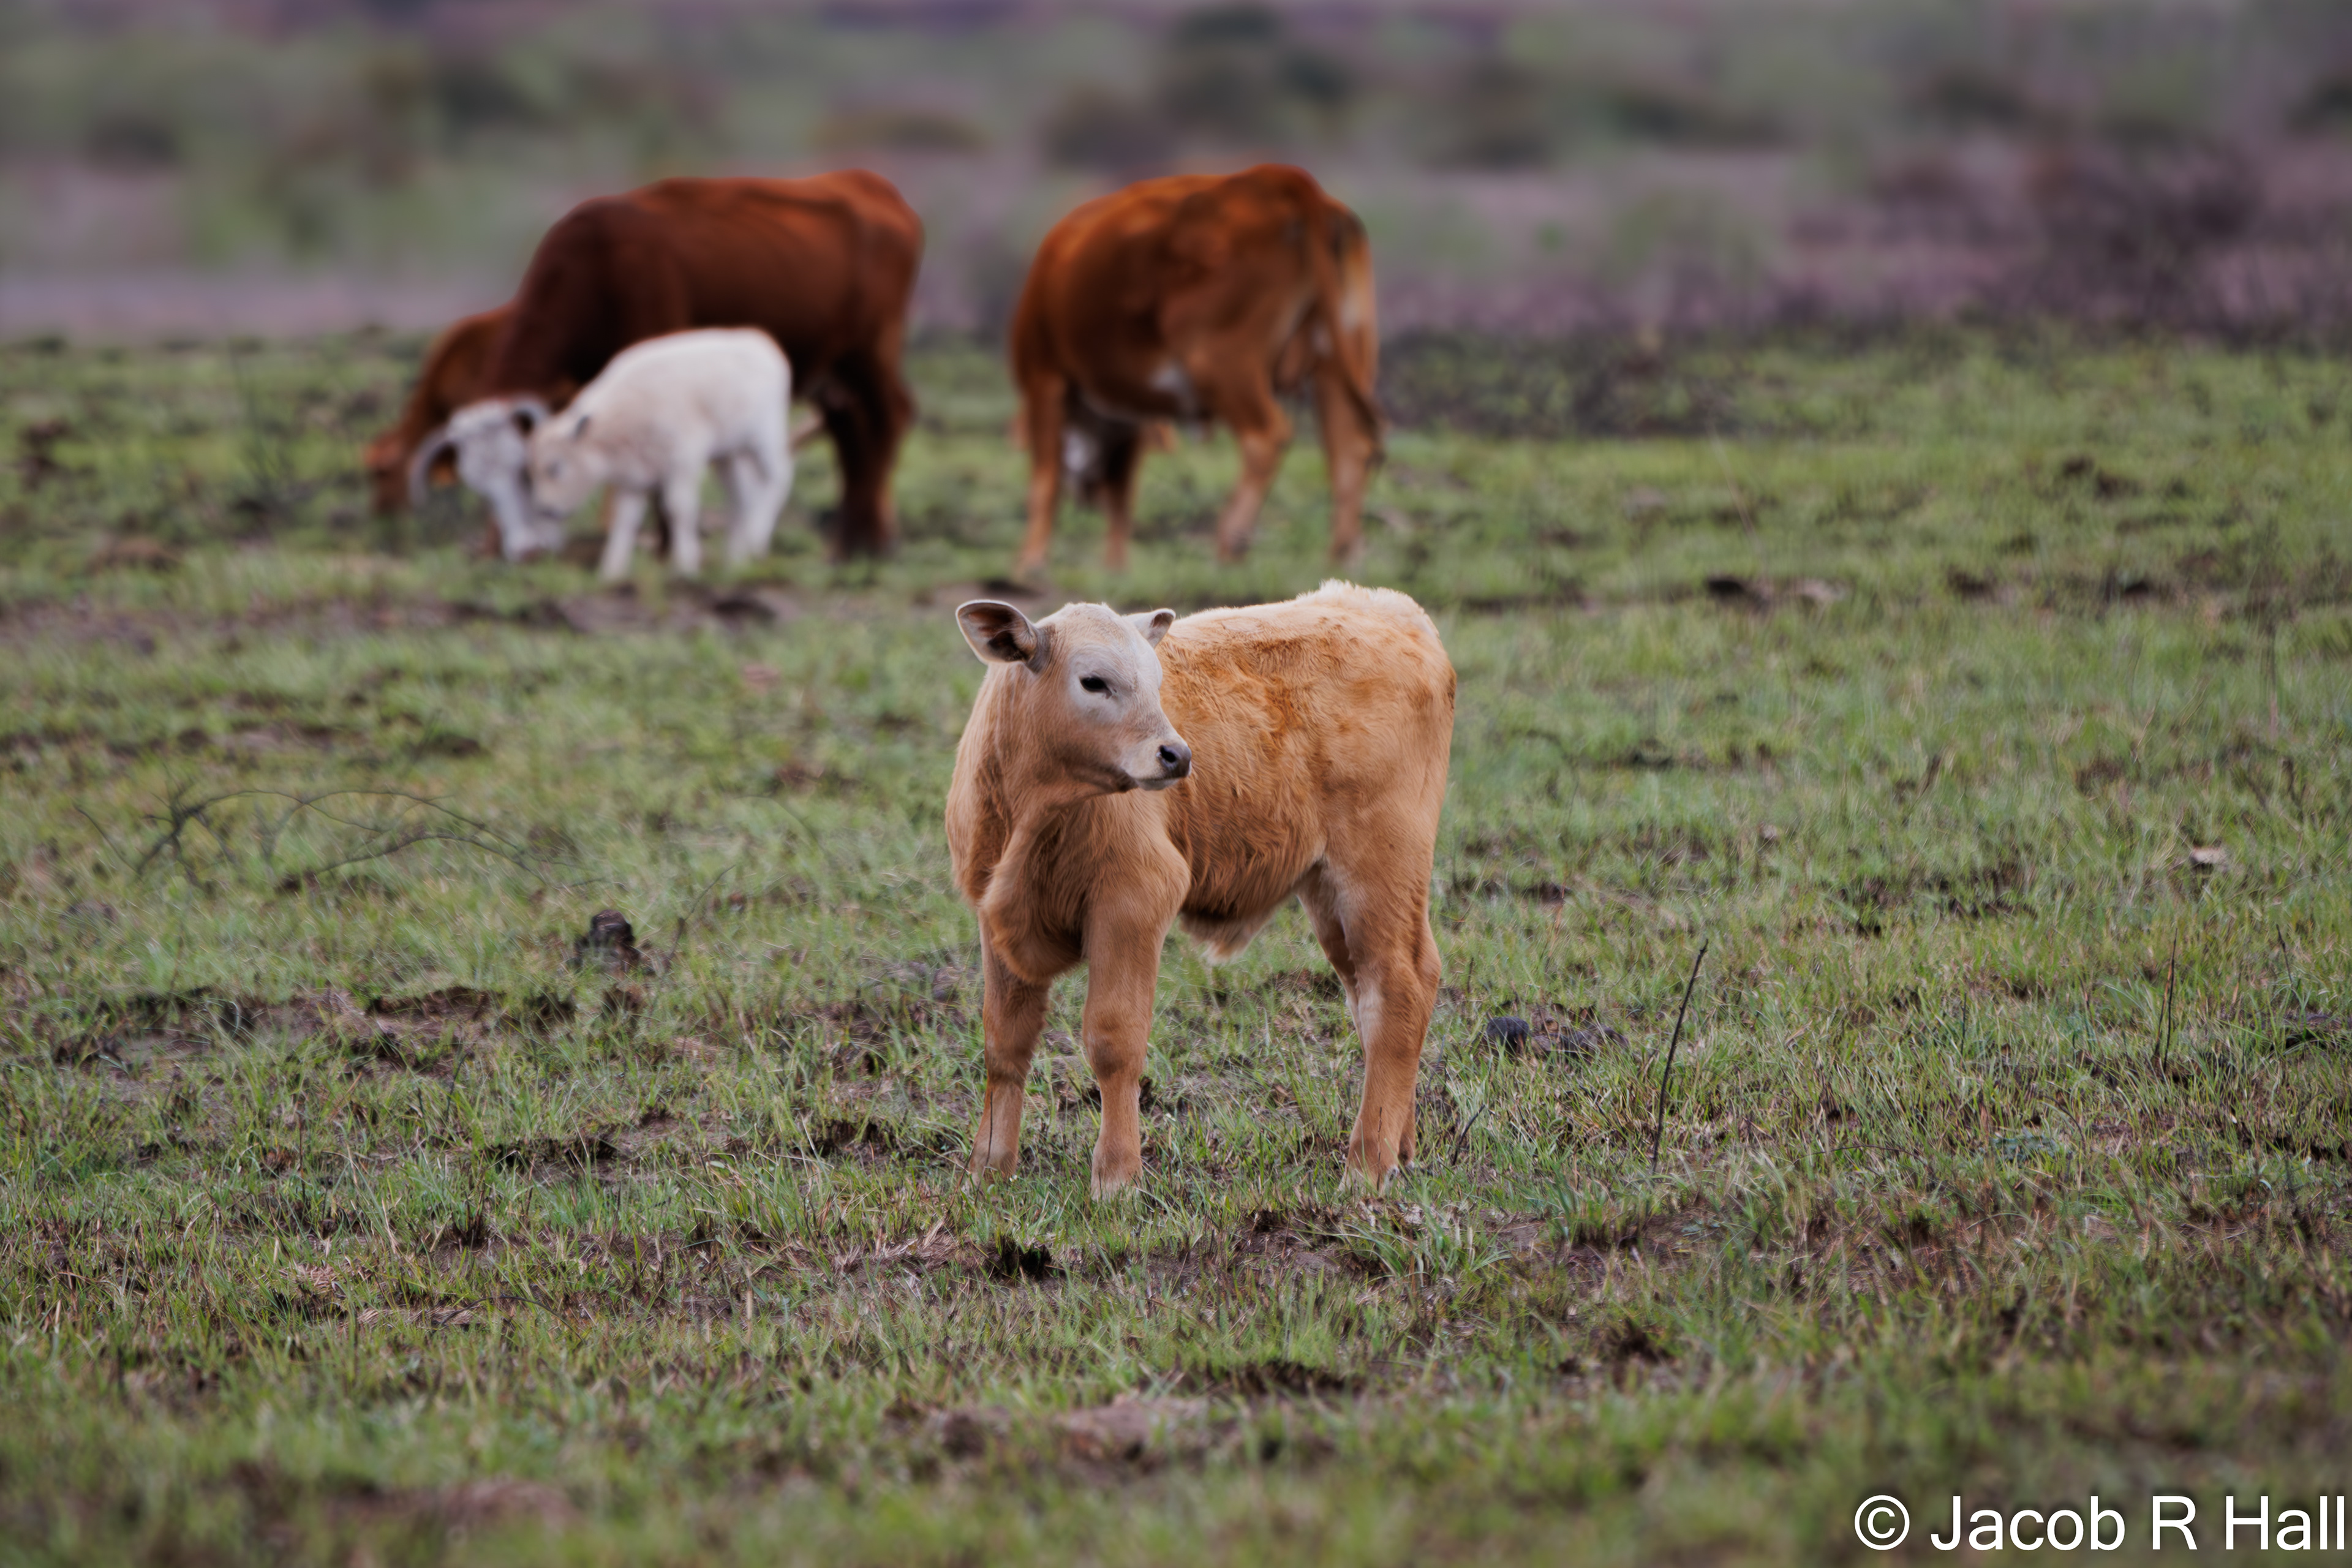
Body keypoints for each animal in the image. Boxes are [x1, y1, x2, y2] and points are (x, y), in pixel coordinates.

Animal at [475, 170, 921, 559]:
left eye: (529, 473)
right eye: (481, 486)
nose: (521, 550)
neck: (597, 270)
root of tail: (867, 183)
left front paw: (668, 548)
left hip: (869, 351)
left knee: (888, 418)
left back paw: (866, 545)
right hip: (832, 371)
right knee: (851, 432)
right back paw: (855, 540)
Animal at [946, 581, 1453, 1194]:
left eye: (1157, 681)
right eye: (1094, 681)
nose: (1178, 754)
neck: (1033, 817)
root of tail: (1392, 609)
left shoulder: (1134, 901)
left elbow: (1114, 1041)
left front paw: (1116, 1177)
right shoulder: (994, 916)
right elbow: (1004, 1045)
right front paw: (987, 1169)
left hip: (1379, 870)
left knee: (1397, 988)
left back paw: (1367, 1165)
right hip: (1332, 894)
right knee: (1377, 996)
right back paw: (1399, 1146)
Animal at [1007, 164, 1383, 577]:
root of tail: (1274, 179)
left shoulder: (1045, 378)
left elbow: (1046, 482)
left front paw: (1030, 563)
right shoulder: (1129, 416)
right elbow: (1121, 494)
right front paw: (1115, 570)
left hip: (1219, 360)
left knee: (1266, 437)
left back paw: (1229, 545)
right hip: (1336, 357)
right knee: (1350, 446)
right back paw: (1342, 558)